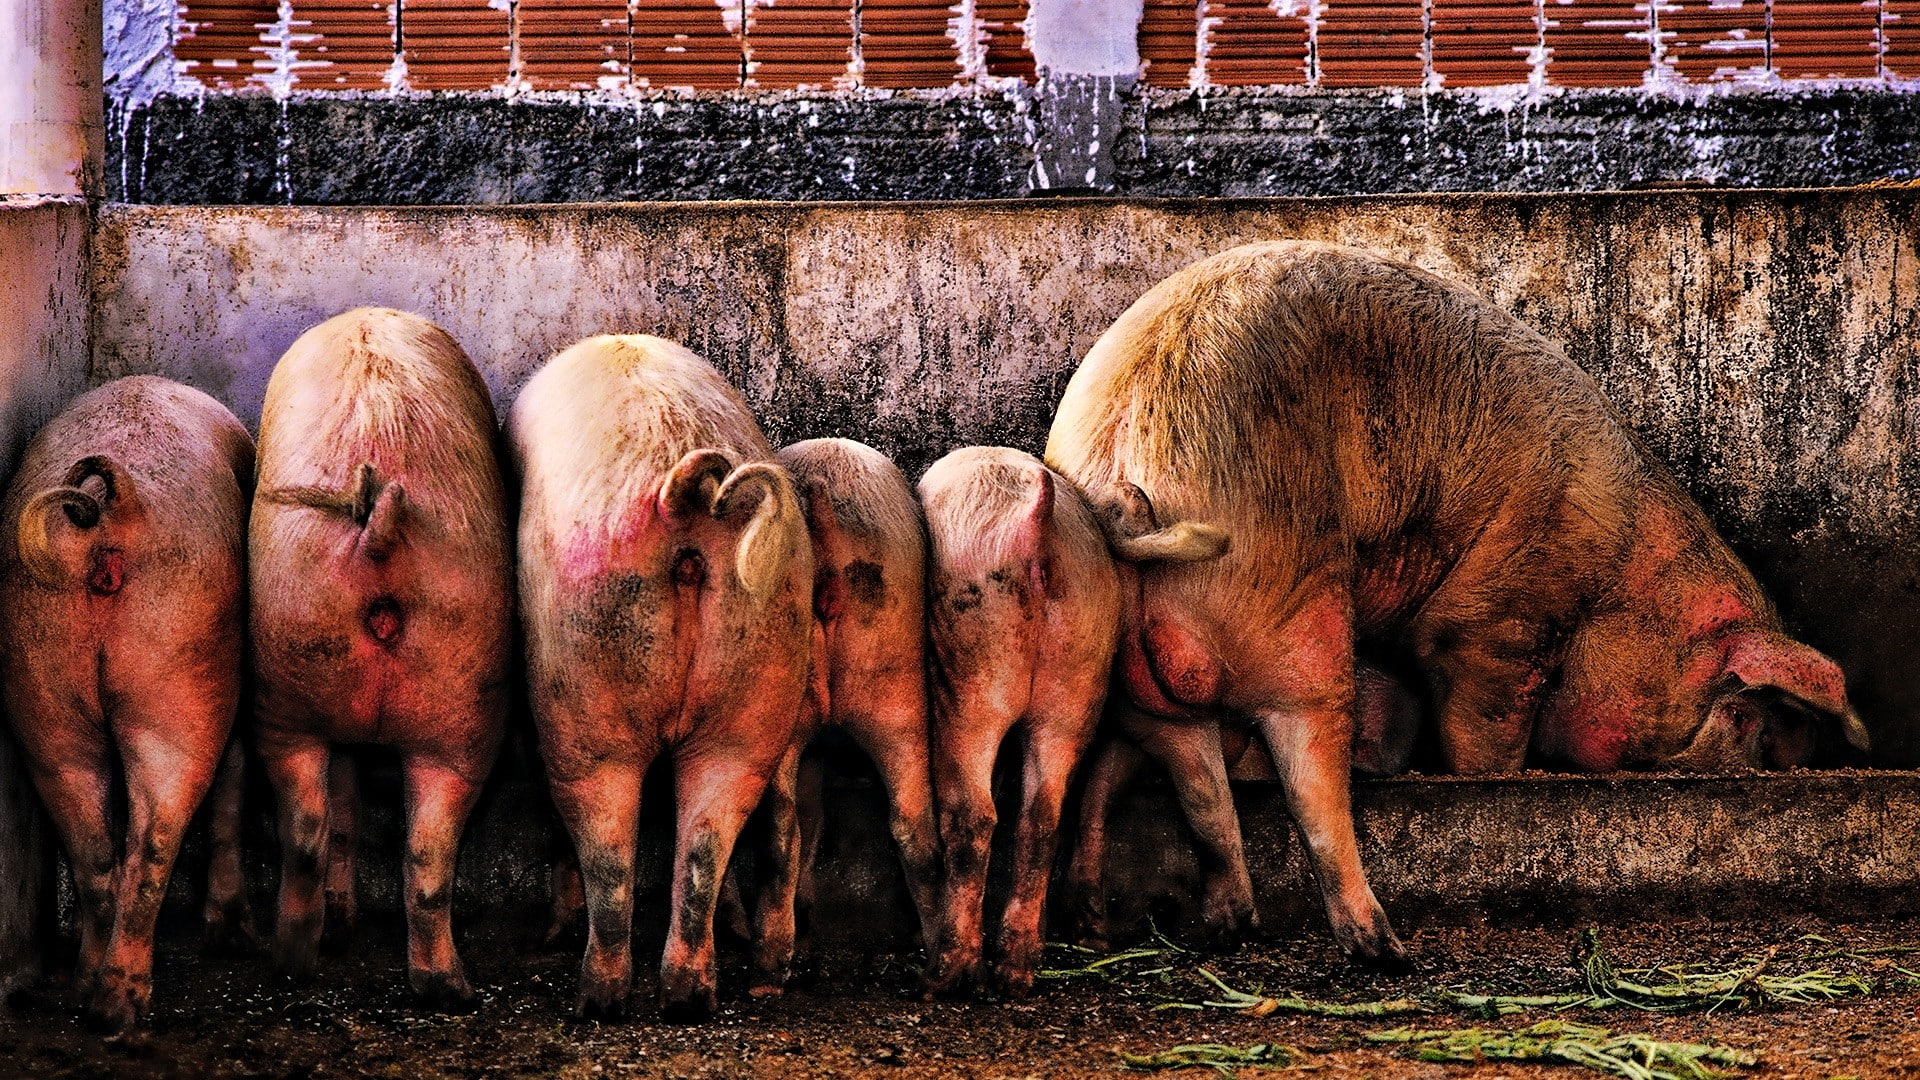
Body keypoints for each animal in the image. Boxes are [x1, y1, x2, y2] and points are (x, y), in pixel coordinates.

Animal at [0, 376, 254, 1030]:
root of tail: (117, 506)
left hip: (38, 674)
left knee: (90, 838)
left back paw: (92, 994)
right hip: (184, 661)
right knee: (159, 830)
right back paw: (124, 1007)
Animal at [249, 308, 512, 1007]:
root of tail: (378, 537)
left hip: (288, 677)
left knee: (316, 830)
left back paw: (302, 964)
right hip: (455, 686)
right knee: (413, 852)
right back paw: (442, 986)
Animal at [509, 334, 813, 1020]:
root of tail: (684, 497)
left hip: (583, 677)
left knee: (605, 839)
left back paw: (596, 998)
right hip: (757, 677)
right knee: (711, 835)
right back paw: (690, 996)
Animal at [917, 446, 1220, 998]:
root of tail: (1036, 525)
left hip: (973, 660)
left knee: (975, 814)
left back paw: (946, 978)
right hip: (1079, 667)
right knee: (1040, 818)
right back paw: (1016, 973)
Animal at [1045, 240, 1867, 964]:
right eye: (1743, 715)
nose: (1766, 769)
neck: (1618, 577)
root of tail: (1125, 468)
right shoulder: (1502, 622)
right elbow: (1484, 730)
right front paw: (1496, 783)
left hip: (1151, 675)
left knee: (1179, 777)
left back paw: (1153, 922)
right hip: (1291, 603)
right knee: (1308, 772)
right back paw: (1384, 950)